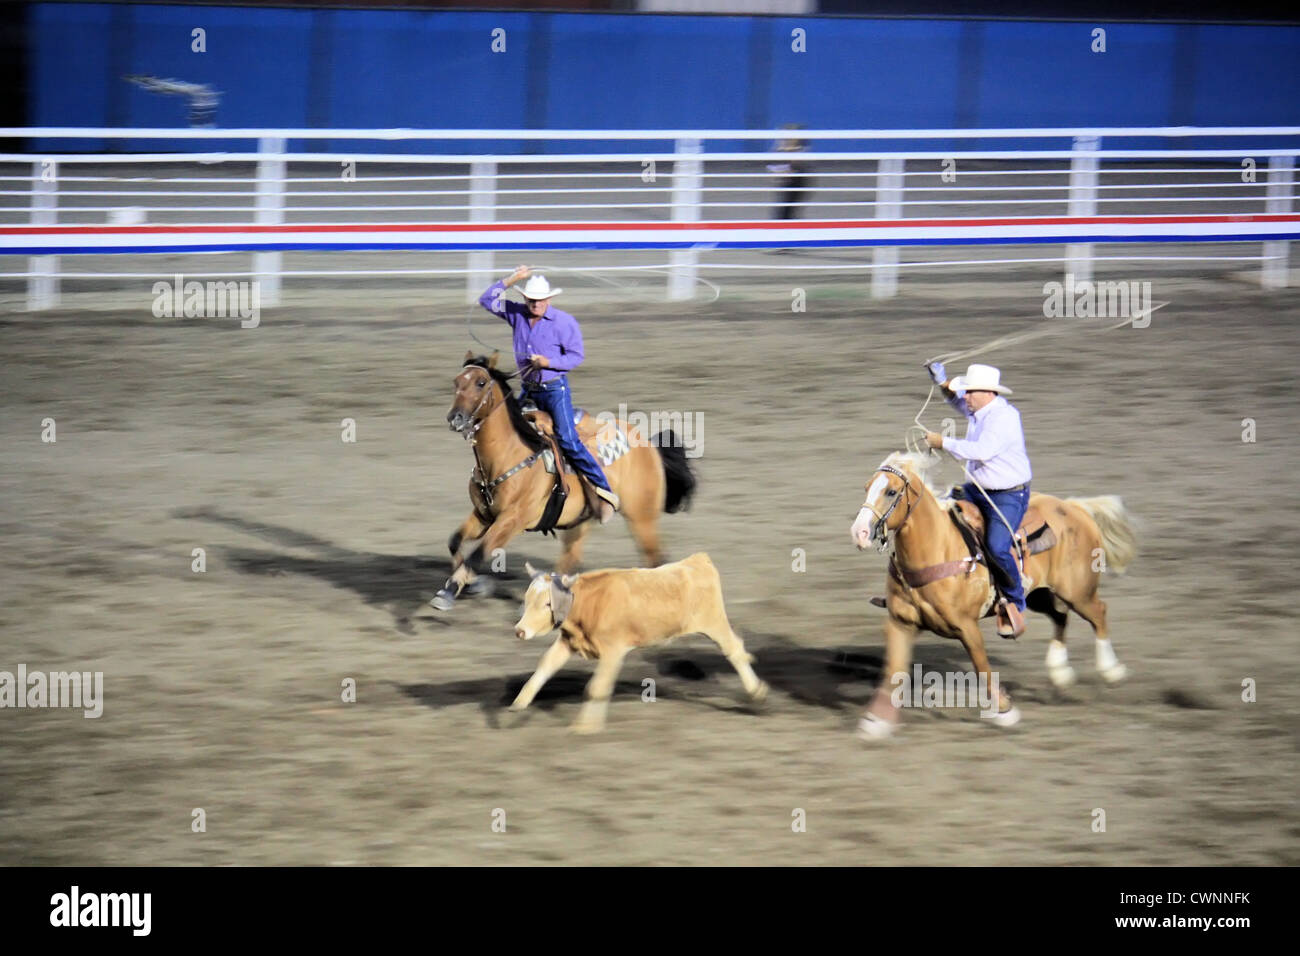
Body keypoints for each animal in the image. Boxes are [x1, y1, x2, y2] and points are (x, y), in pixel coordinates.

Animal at [431, 353, 696, 613]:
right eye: (456, 382)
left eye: (481, 382)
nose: (455, 418)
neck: (509, 454)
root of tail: (649, 444)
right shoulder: (484, 515)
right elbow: (455, 542)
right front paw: (473, 585)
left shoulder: (512, 519)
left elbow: (477, 555)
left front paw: (448, 592)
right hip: (581, 521)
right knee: (570, 560)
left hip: (642, 517)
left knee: (655, 559)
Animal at [509, 554, 769, 733]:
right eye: (527, 598)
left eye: (547, 604)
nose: (520, 631)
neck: (589, 603)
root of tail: (697, 561)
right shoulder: (568, 641)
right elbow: (545, 666)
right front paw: (518, 705)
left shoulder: (613, 650)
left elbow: (597, 688)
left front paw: (585, 726)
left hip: (714, 623)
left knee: (734, 651)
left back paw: (757, 692)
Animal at [847, 452, 1133, 738]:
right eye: (866, 487)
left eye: (891, 491)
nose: (859, 533)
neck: (938, 548)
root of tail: (1075, 508)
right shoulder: (900, 623)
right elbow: (893, 669)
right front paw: (876, 721)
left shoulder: (966, 627)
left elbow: (981, 666)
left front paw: (1005, 711)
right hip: (1037, 595)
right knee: (1060, 616)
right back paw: (1059, 672)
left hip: (1077, 592)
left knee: (1098, 613)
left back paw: (1110, 670)